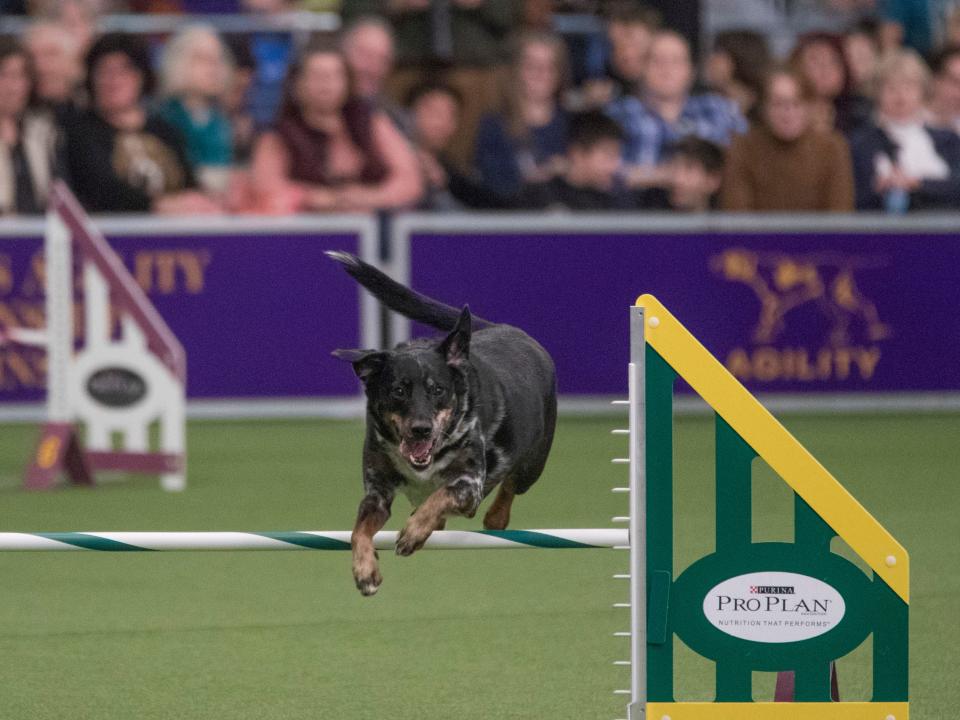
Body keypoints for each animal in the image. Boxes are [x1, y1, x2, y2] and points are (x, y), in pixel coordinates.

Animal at [328, 253, 560, 596]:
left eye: (437, 389)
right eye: (398, 390)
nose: (421, 428)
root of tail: (506, 328)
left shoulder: (468, 483)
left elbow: (441, 495)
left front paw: (413, 532)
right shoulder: (377, 492)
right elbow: (359, 531)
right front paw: (365, 571)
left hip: (533, 464)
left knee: (509, 486)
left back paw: (494, 517)